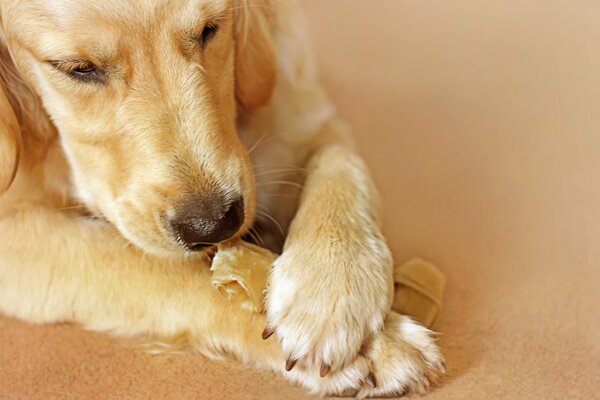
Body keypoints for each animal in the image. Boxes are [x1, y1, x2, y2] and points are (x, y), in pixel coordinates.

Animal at [0, 0, 440, 396]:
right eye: (78, 68)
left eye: (210, 30)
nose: (213, 224)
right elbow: (146, 264)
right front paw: (380, 345)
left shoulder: (298, 106)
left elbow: (339, 157)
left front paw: (332, 285)